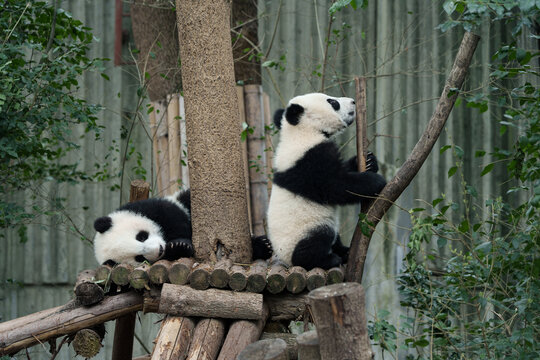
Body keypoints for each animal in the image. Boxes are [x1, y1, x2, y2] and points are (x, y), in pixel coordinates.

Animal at [268, 93, 386, 270]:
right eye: (333, 102)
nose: (353, 101)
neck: (301, 132)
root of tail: (285, 260)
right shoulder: (308, 161)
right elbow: (336, 186)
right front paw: (376, 181)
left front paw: (370, 161)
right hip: (302, 230)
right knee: (318, 238)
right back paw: (327, 259)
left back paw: (343, 252)